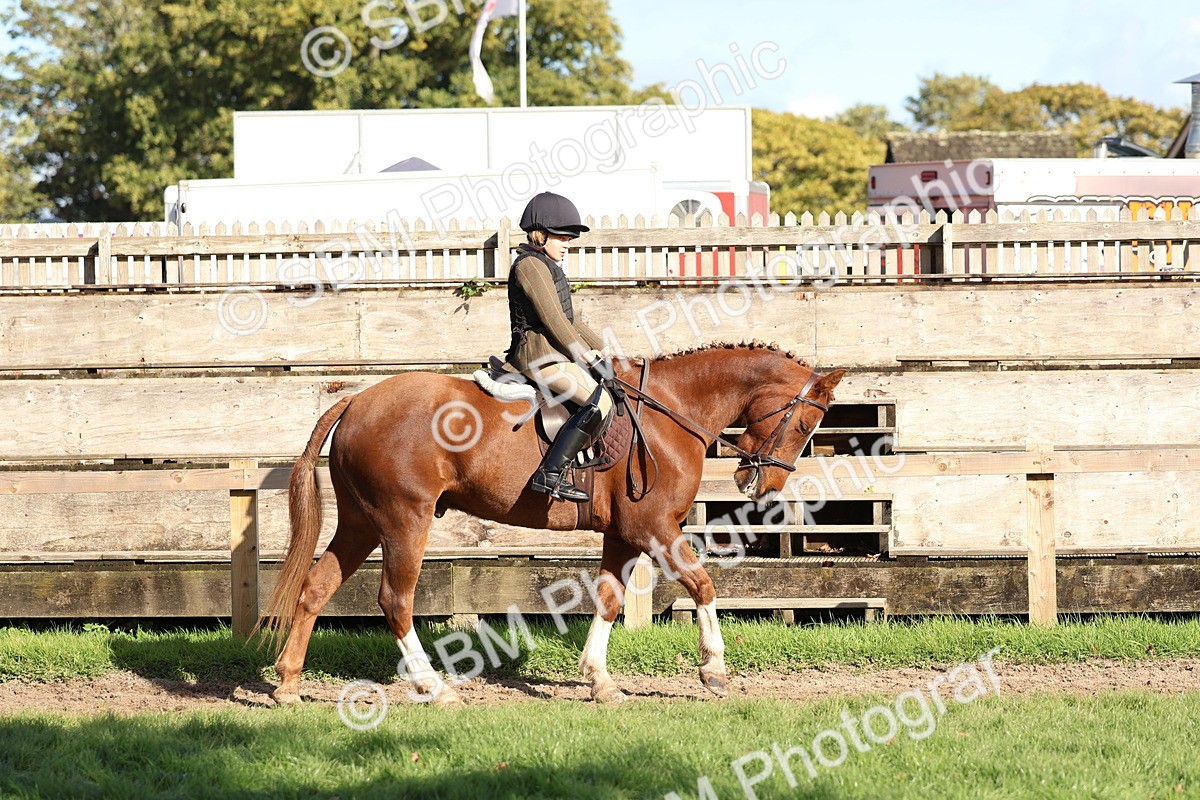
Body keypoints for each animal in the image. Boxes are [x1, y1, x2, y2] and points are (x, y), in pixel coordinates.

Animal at [259, 342, 845, 706]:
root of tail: (358, 398)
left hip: (362, 521)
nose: (762, 485)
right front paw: (714, 670)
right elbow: (702, 585)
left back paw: (287, 685)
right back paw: (435, 688)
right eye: (806, 424)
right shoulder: (655, 529)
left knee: (316, 588)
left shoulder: (624, 535)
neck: (669, 412)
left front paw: (599, 680)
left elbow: (608, 599)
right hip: (405, 520)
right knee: (394, 600)